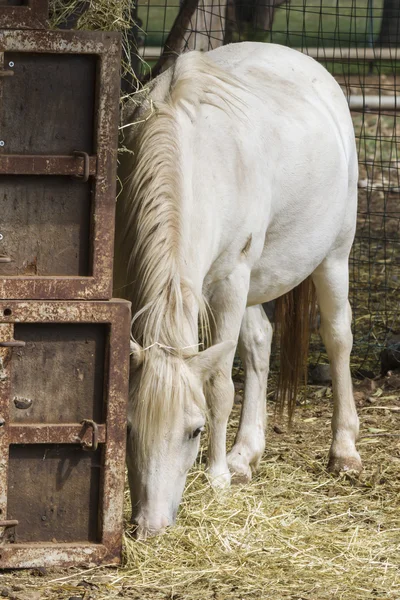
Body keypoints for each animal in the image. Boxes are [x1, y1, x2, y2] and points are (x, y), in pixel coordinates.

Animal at [114, 42, 360, 540]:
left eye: (193, 431)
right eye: (128, 430)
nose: (152, 526)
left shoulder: (229, 281)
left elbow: (220, 386)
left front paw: (217, 478)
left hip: (332, 255)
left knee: (338, 337)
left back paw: (344, 451)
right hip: (255, 281)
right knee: (260, 343)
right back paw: (245, 454)